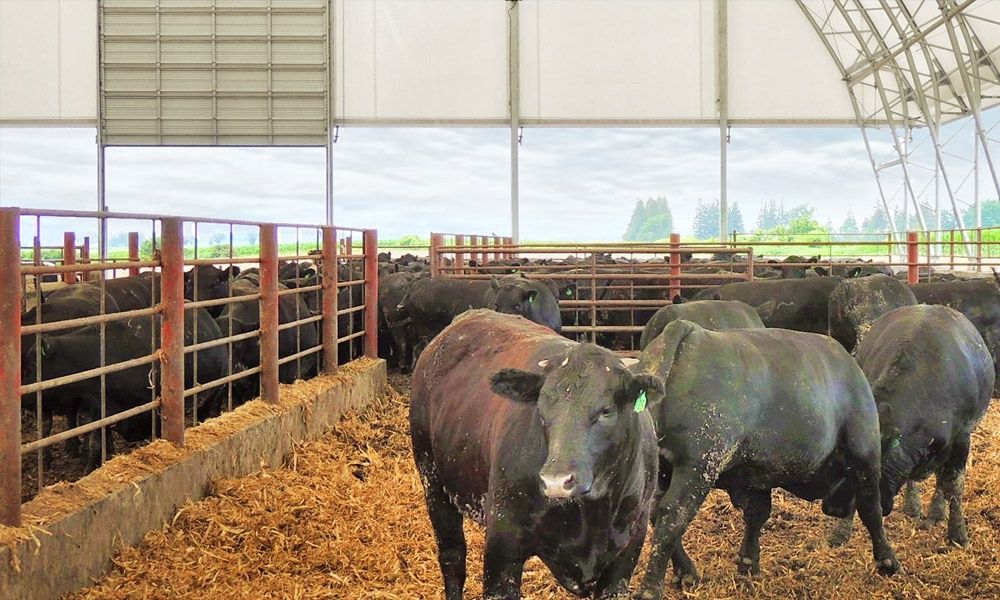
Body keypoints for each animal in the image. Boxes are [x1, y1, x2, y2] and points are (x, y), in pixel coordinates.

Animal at [411, 310, 662, 599]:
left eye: (606, 411)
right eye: (541, 409)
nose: (556, 481)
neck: (592, 513)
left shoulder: (626, 554)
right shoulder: (502, 544)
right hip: (433, 482)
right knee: (452, 558)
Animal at [632, 320, 899, 599]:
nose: (837, 509)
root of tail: (689, 330)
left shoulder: (756, 474)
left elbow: (757, 514)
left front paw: (748, 563)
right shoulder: (865, 455)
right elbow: (871, 509)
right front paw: (887, 561)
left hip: (663, 470)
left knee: (655, 512)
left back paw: (686, 572)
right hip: (698, 467)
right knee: (672, 516)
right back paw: (650, 588)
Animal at [829, 305, 993, 548]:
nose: (831, 507)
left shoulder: (961, 439)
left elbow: (954, 484)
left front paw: (958, 535)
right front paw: (840, 532)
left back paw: (935, 512)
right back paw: (913, 505)